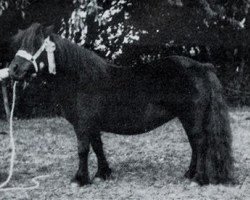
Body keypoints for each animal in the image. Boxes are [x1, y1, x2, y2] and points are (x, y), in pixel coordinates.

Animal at [8, 23, 233, 186]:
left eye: (35, 45)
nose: (13, 70)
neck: (80, 79)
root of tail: (202, 66)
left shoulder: (82, 125)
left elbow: (83, 150)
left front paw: (80, 179)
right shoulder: (92, 125)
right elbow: (97, 147)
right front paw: (102, 174)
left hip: (192, 117)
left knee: (200, 144)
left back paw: (199, 180)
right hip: (186, 118)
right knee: (195, 144)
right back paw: (189, 174)